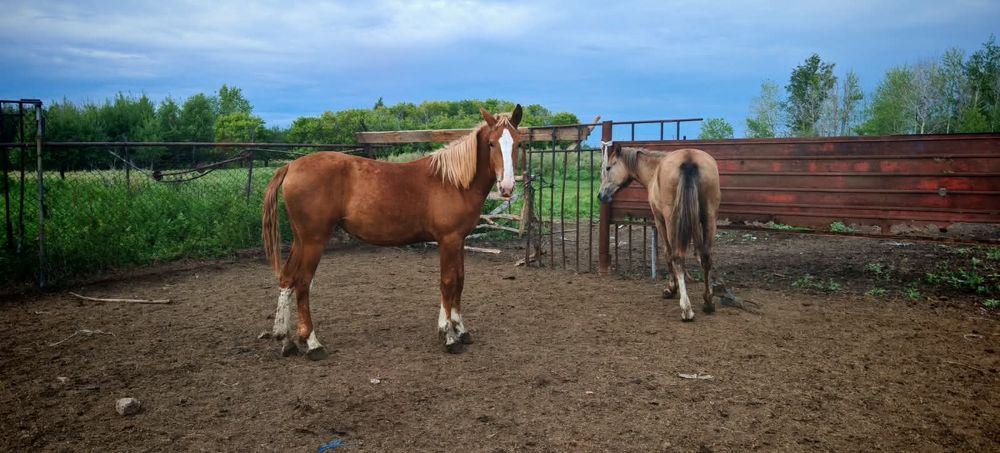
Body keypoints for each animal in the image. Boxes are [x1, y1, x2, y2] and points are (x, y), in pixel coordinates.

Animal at [261, 105, 523, 359]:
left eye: (519, 143)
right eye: (491, 143)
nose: (507, 187)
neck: (453, 181)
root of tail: (290, 166)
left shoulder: (459, 240)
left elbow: (459, 280)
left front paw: (460, 329)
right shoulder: (448, 240)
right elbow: (448, 282)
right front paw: (449, 336)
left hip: (301, 240)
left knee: (287, 278)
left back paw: (286, 341)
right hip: (314, 241)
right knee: (303, 283)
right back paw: (313, 344)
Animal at [597, 144, 721, 321]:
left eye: (608, 167)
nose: (600, 195)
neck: (655, 170)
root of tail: (689, 158)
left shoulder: (659, 220)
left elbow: (667, 254)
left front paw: (671, 288)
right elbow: (698, 253)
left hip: (672, 220)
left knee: (678, 257)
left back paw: (686, 309)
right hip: (709, 216)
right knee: (706, 257)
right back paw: (708, 302)